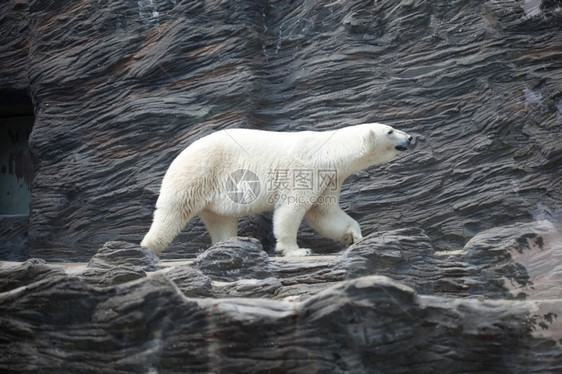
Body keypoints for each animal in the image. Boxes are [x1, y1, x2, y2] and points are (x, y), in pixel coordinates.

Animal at [140, 124, 412, 256]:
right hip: (198, 174)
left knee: (221, 221)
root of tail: (180, 154)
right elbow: (291, 210)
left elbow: (323, 213)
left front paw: (353, 235)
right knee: (172, 213)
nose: (410, 137)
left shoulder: (328, 179)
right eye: (390, 130)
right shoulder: (304, 169)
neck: (328, 150)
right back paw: (148, 248)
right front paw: (298, 250)